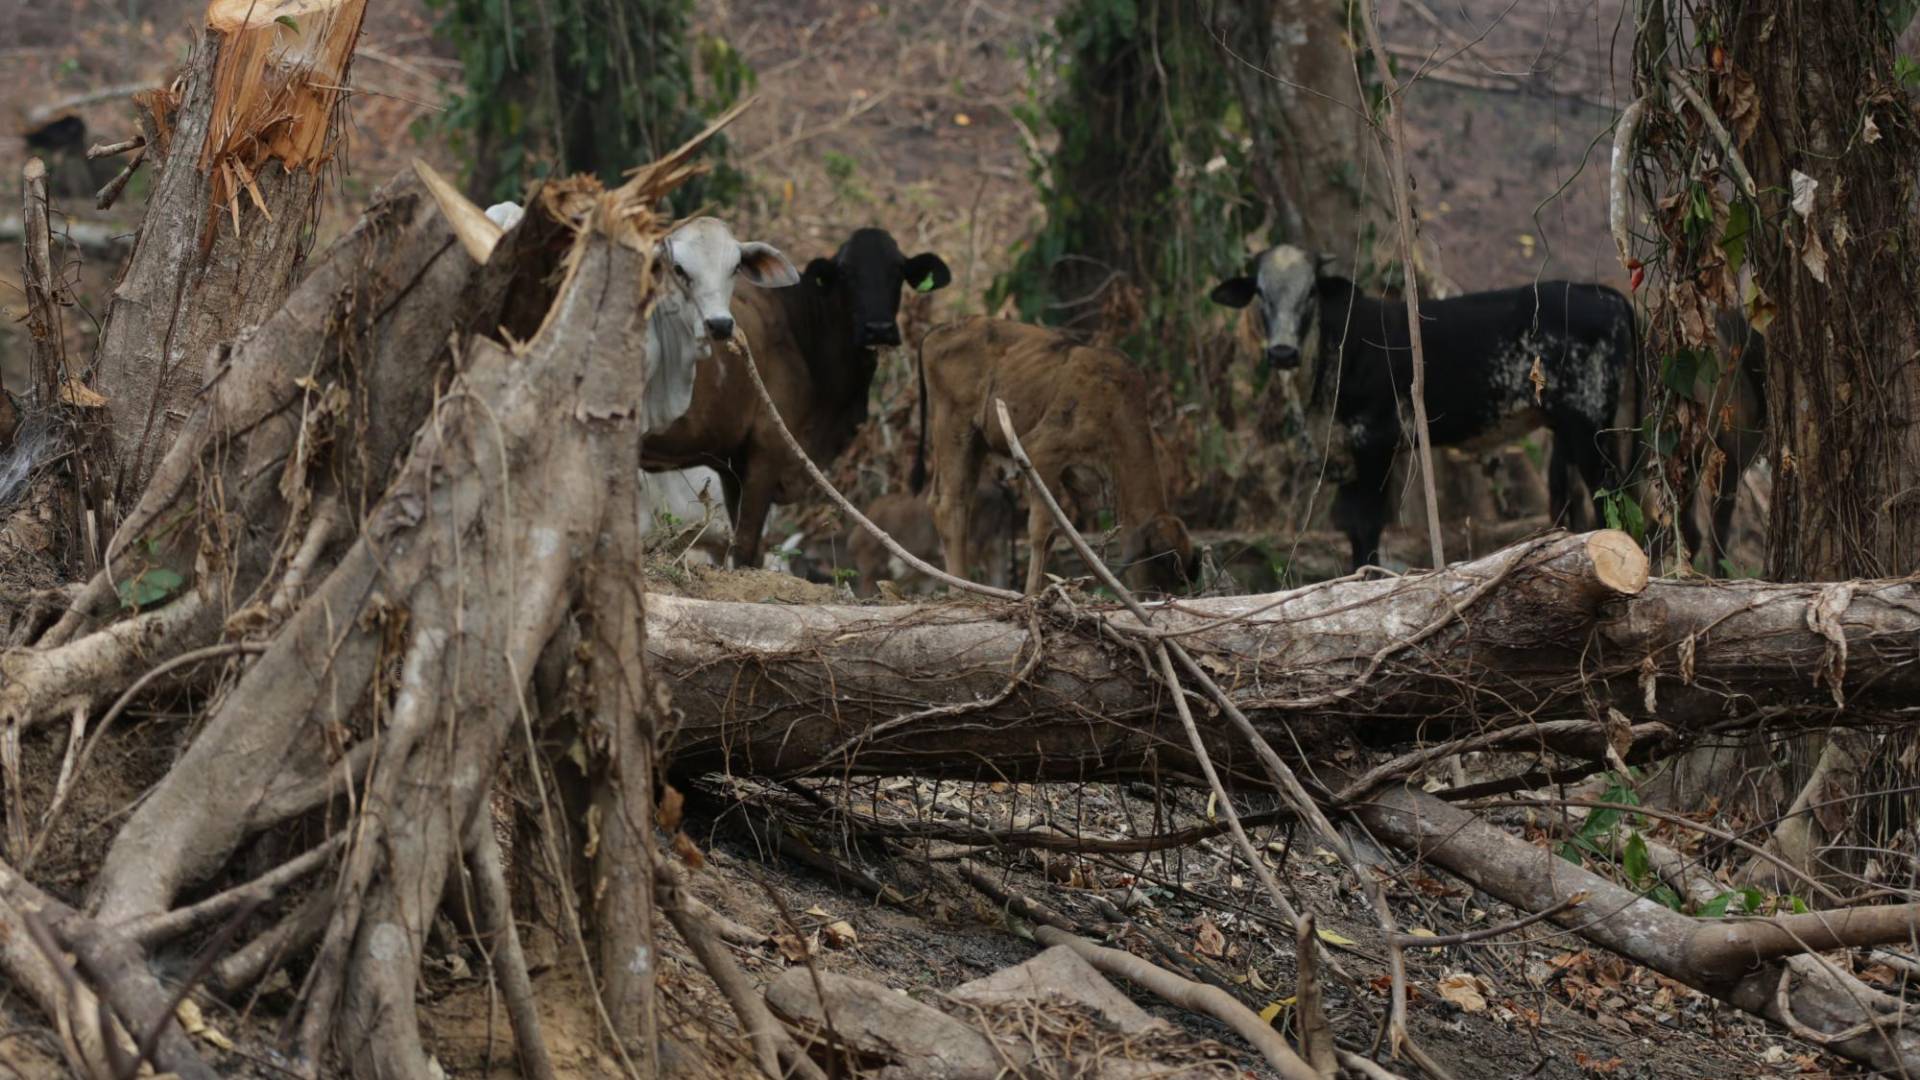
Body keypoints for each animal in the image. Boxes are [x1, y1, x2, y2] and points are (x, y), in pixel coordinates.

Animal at [641, 224, 948, 564]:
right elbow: (746, 547)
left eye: (898, 271)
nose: (878, 328)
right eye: (845, 273)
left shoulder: (731, 465)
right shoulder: (767, 452)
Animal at [913, 315, 1198, 591]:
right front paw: (1031, 593)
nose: (1160, 594)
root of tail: (941, 329)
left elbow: (1064, 534)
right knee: (950, 506)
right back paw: (961, 587)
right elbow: (1042, 530)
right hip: (956, 433)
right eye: (1160, 562)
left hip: (974, 445)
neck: (1116, 408)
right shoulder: (1041, 454)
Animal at [1205, 240, 1628, 568]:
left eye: (1310, 292)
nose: (1281, 352)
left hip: (1590, 425)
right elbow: (1352, 528)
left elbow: (1367, 526)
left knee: (1611, 493)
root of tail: (1602, 294)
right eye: (1261, 294)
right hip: (1570, 430)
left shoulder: (1374, 444)